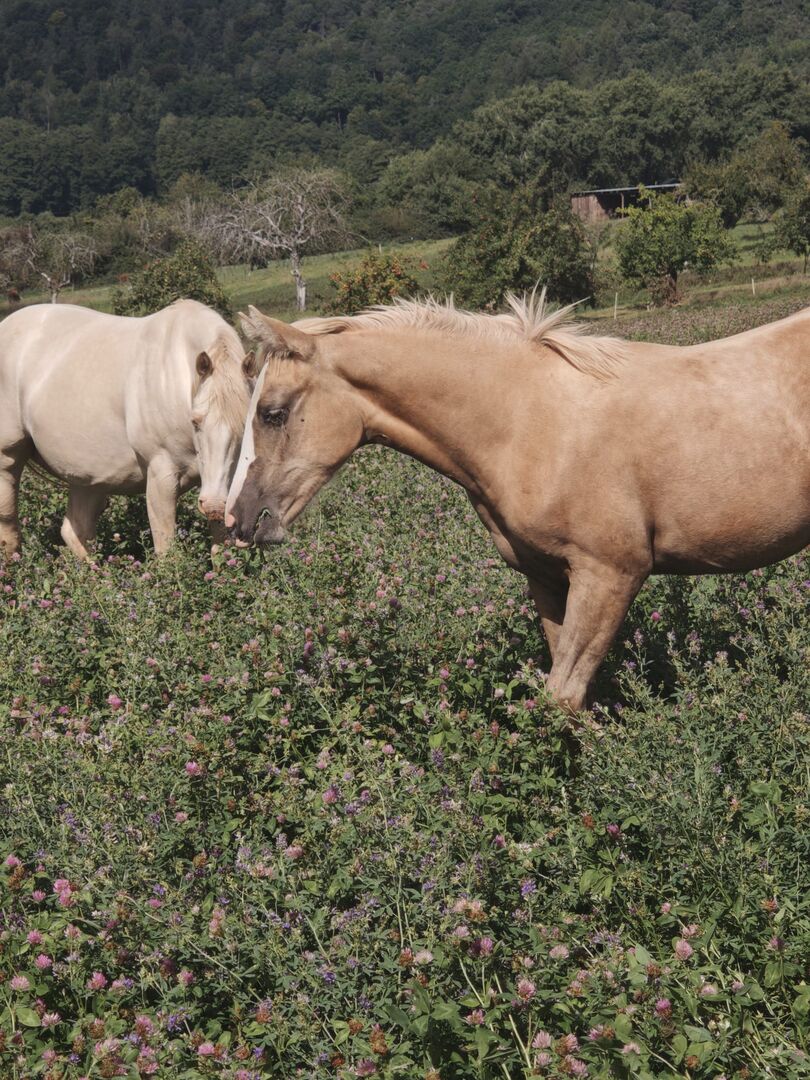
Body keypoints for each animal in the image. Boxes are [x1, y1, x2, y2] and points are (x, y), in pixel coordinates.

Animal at [0, 300, 256, 559]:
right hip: (8, 459)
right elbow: (167, 551)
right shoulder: (161, 479)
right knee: (9, 528)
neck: (177, 378)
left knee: (76, 531)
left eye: (245, 424)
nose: (214, 506)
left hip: (88, 478)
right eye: (195, 421)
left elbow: (221, 550)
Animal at [225, 292, 810, 712]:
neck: (528, 423)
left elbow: (562, 698)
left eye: (273, 412)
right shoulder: (548, 577)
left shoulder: (612, 574)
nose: (241, 519)